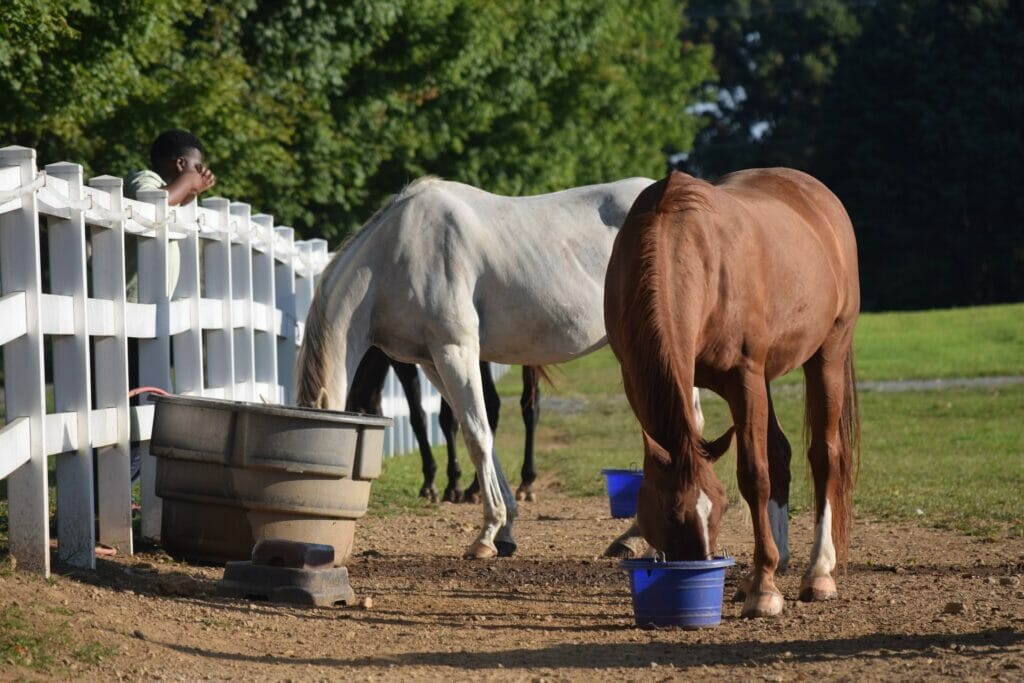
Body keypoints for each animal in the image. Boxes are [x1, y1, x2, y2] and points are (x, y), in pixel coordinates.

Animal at [602, 169, 860, 618]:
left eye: (721, 506)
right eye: (670, 514)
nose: (696, 564)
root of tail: (819, 196)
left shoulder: (744, 378)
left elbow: (754, 475)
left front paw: (764, 591)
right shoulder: (638, 375)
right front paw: (761, 574)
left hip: (827, 352)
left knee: (824, 456)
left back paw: (818, 572)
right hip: (769, 375)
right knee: (781, 453)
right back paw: (780, 558)